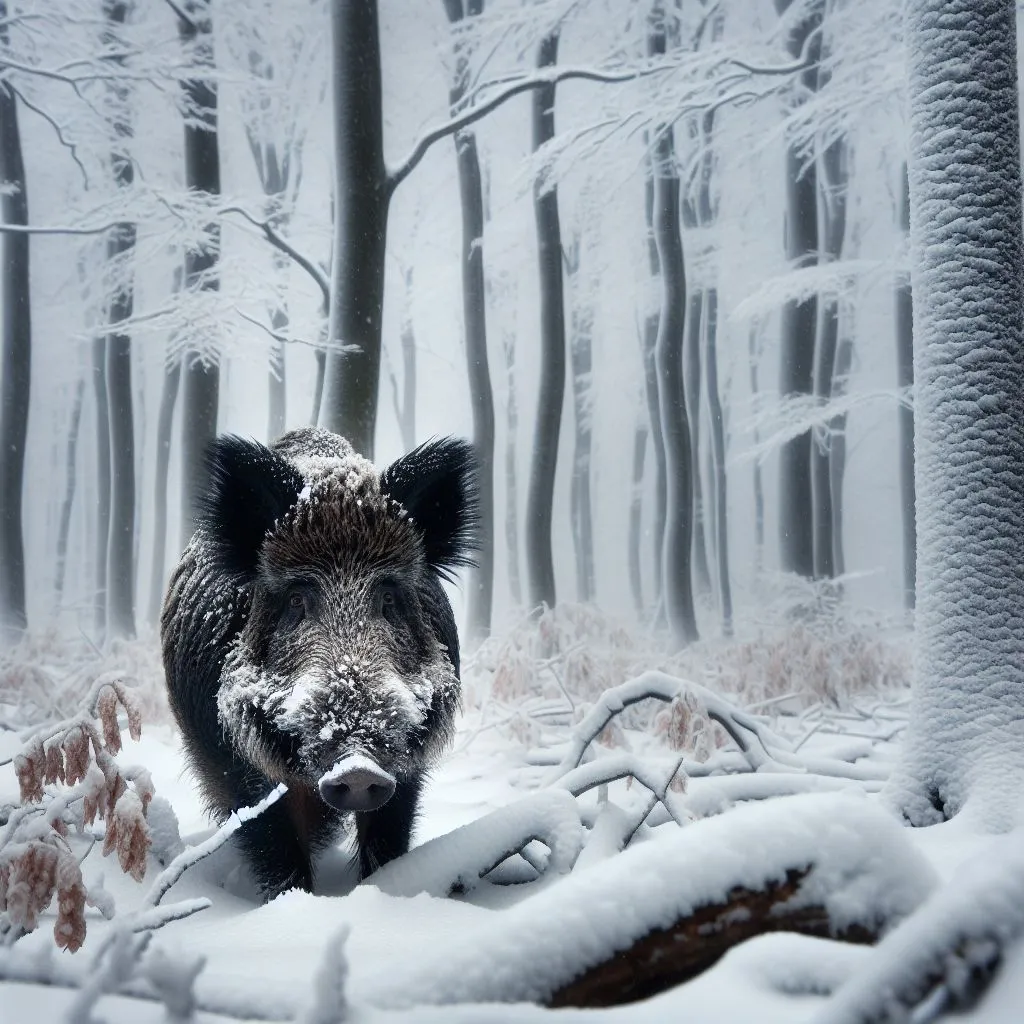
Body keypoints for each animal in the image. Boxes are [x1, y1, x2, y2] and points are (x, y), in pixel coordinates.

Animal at [161, 427, 477, 899]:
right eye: (296, 599)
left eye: (388, 598)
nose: (358, 767)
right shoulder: (237, 765)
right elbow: (276, 847)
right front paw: (296, 903)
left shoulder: (407, 763)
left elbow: (387, 838)